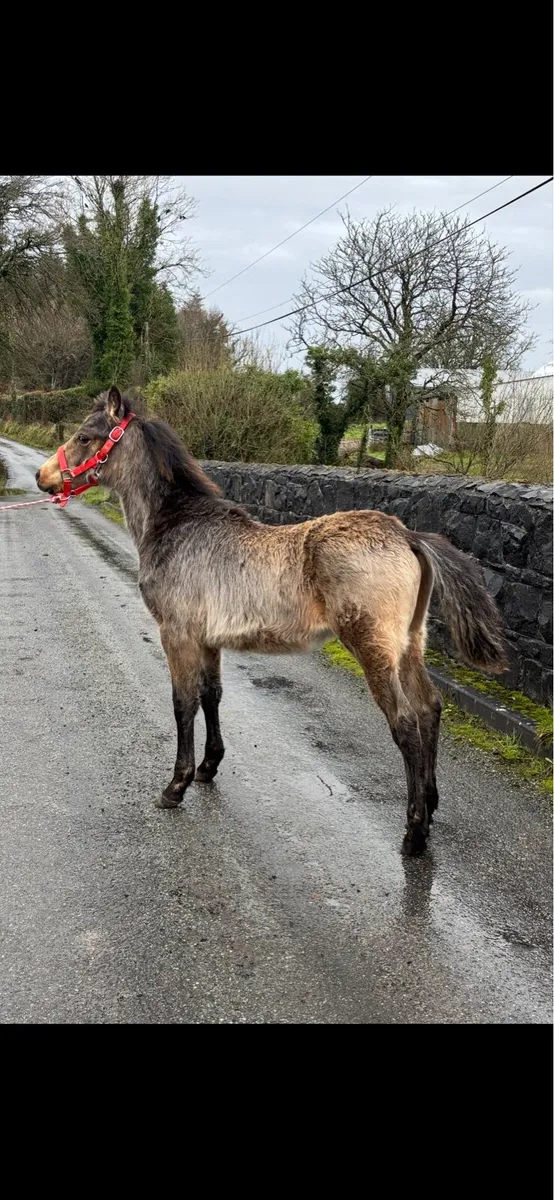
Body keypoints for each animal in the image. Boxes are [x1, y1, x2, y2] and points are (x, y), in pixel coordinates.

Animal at [37, 386, 507, 856]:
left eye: (84, 437)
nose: (44, 478)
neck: (178, 526)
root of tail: (407, 535)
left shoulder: (177, 634)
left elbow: (182, 703)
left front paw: (175, 786)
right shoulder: (208, 639)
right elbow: (212, 695)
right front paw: (208, 766)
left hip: (374, 647)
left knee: (406, 723)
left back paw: (414, 833)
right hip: (409, 644)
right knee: (429, 708)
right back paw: (430, 802)